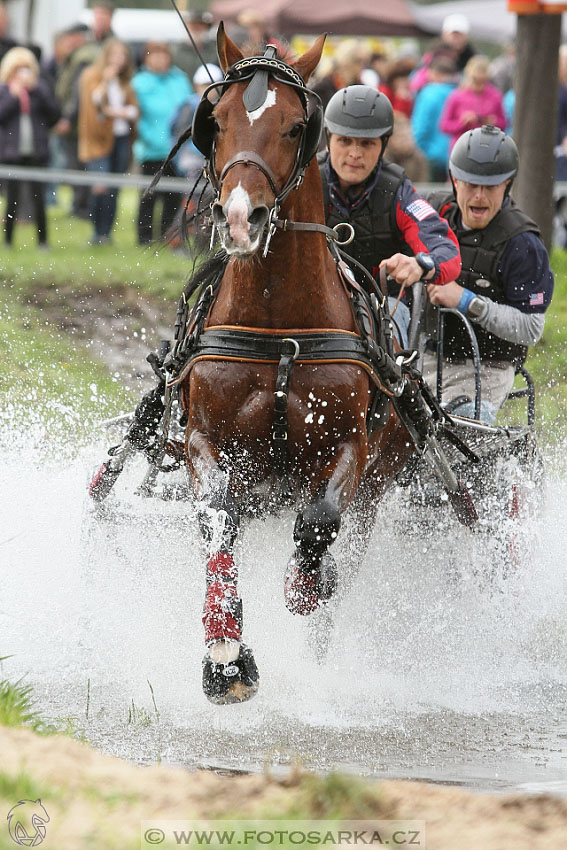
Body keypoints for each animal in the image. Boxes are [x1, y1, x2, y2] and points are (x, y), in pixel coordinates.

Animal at [180, 28, 414, 704]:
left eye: (292, 127)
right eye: (217, 121)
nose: (240, 217)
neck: (278, 328)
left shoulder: (347, 446)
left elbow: (318, 522)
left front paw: (307, 586)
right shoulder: (205, 440)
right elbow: (218, 521)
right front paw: (226, 656)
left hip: (383, 480)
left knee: (345, 549)